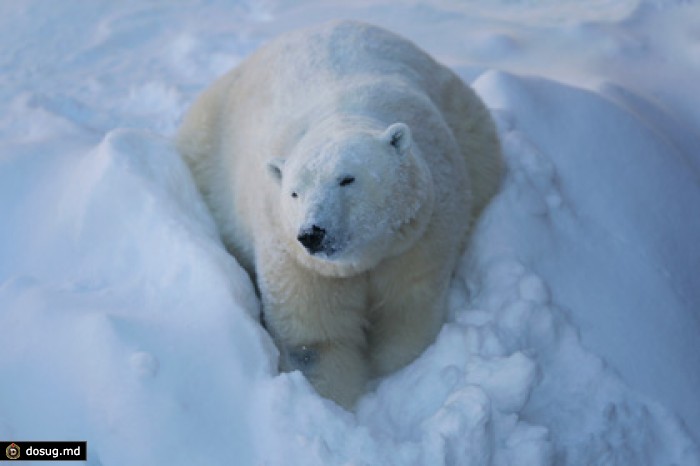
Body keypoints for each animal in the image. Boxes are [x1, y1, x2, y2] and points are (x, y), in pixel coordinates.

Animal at [178, 20, 500, 408]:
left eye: (347, 179)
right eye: (294, 192)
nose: (313, 233)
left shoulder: (418, 237)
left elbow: (407, 309)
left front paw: (391, 370)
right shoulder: (297, 260)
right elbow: (315, 339)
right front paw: (336, 400)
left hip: (468, 123)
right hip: (207, 147)